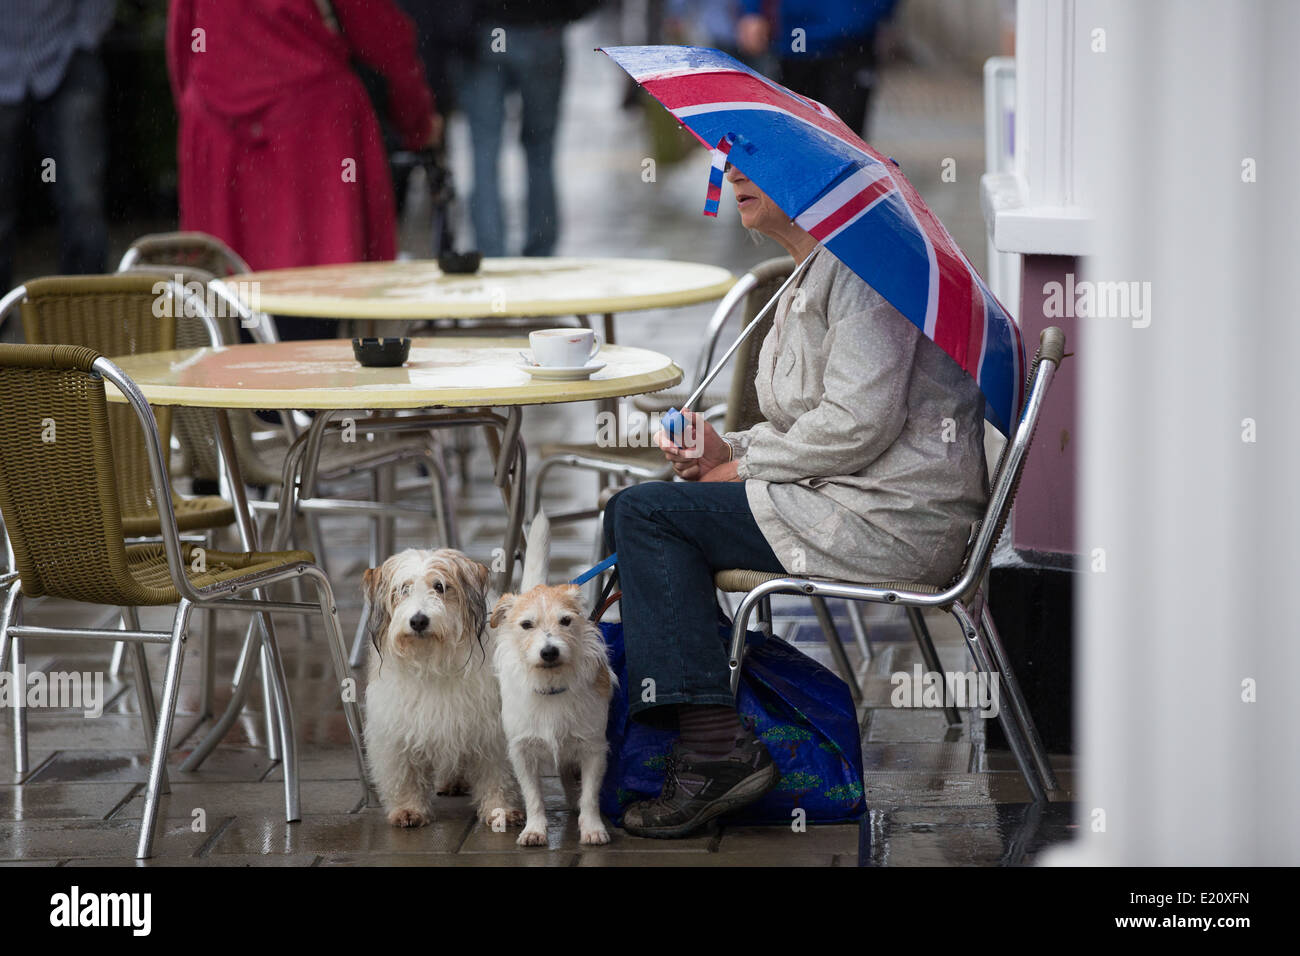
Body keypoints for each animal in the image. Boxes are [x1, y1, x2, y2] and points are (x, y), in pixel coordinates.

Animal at [364, 546, 520, 832]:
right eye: (403, 589)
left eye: (440, 586)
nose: (418, 620)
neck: (431, 660)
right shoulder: (396, 728)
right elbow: (405, 774)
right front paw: (408, 809)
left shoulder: (490, 729)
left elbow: (496, 773)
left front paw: (499, 810)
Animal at [488, 582, 616, 842]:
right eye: (527, 625)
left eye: (565, 621)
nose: (549, 652)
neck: (550, 685)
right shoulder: (522, 752)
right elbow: (533, 797)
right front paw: (534, 829)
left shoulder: (593, 749)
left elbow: (590, 795)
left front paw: (593, 828)